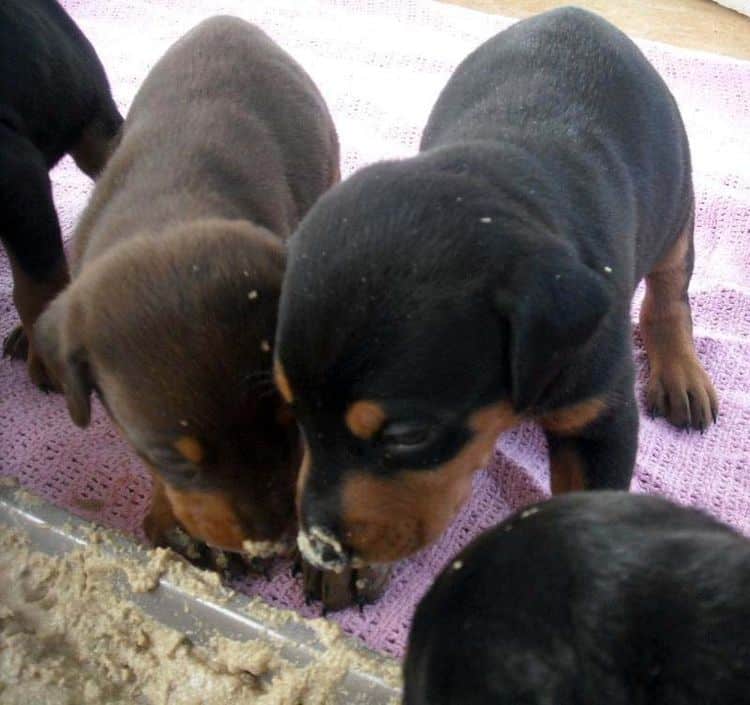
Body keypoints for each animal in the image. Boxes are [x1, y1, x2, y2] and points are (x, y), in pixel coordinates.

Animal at [34, 19, 340, 576]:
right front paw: (174, 521)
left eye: (290, 422)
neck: (173, 204)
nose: (272, 542)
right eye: (174, 458)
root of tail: (227, 20)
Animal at [274, 6, 716, 572]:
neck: (501, 184)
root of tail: (580, 14)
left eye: (406, 436)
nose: (322, 545)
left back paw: (681, 371)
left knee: (669, 290)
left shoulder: (602, 418)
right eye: (293, 411)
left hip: (678, 200)